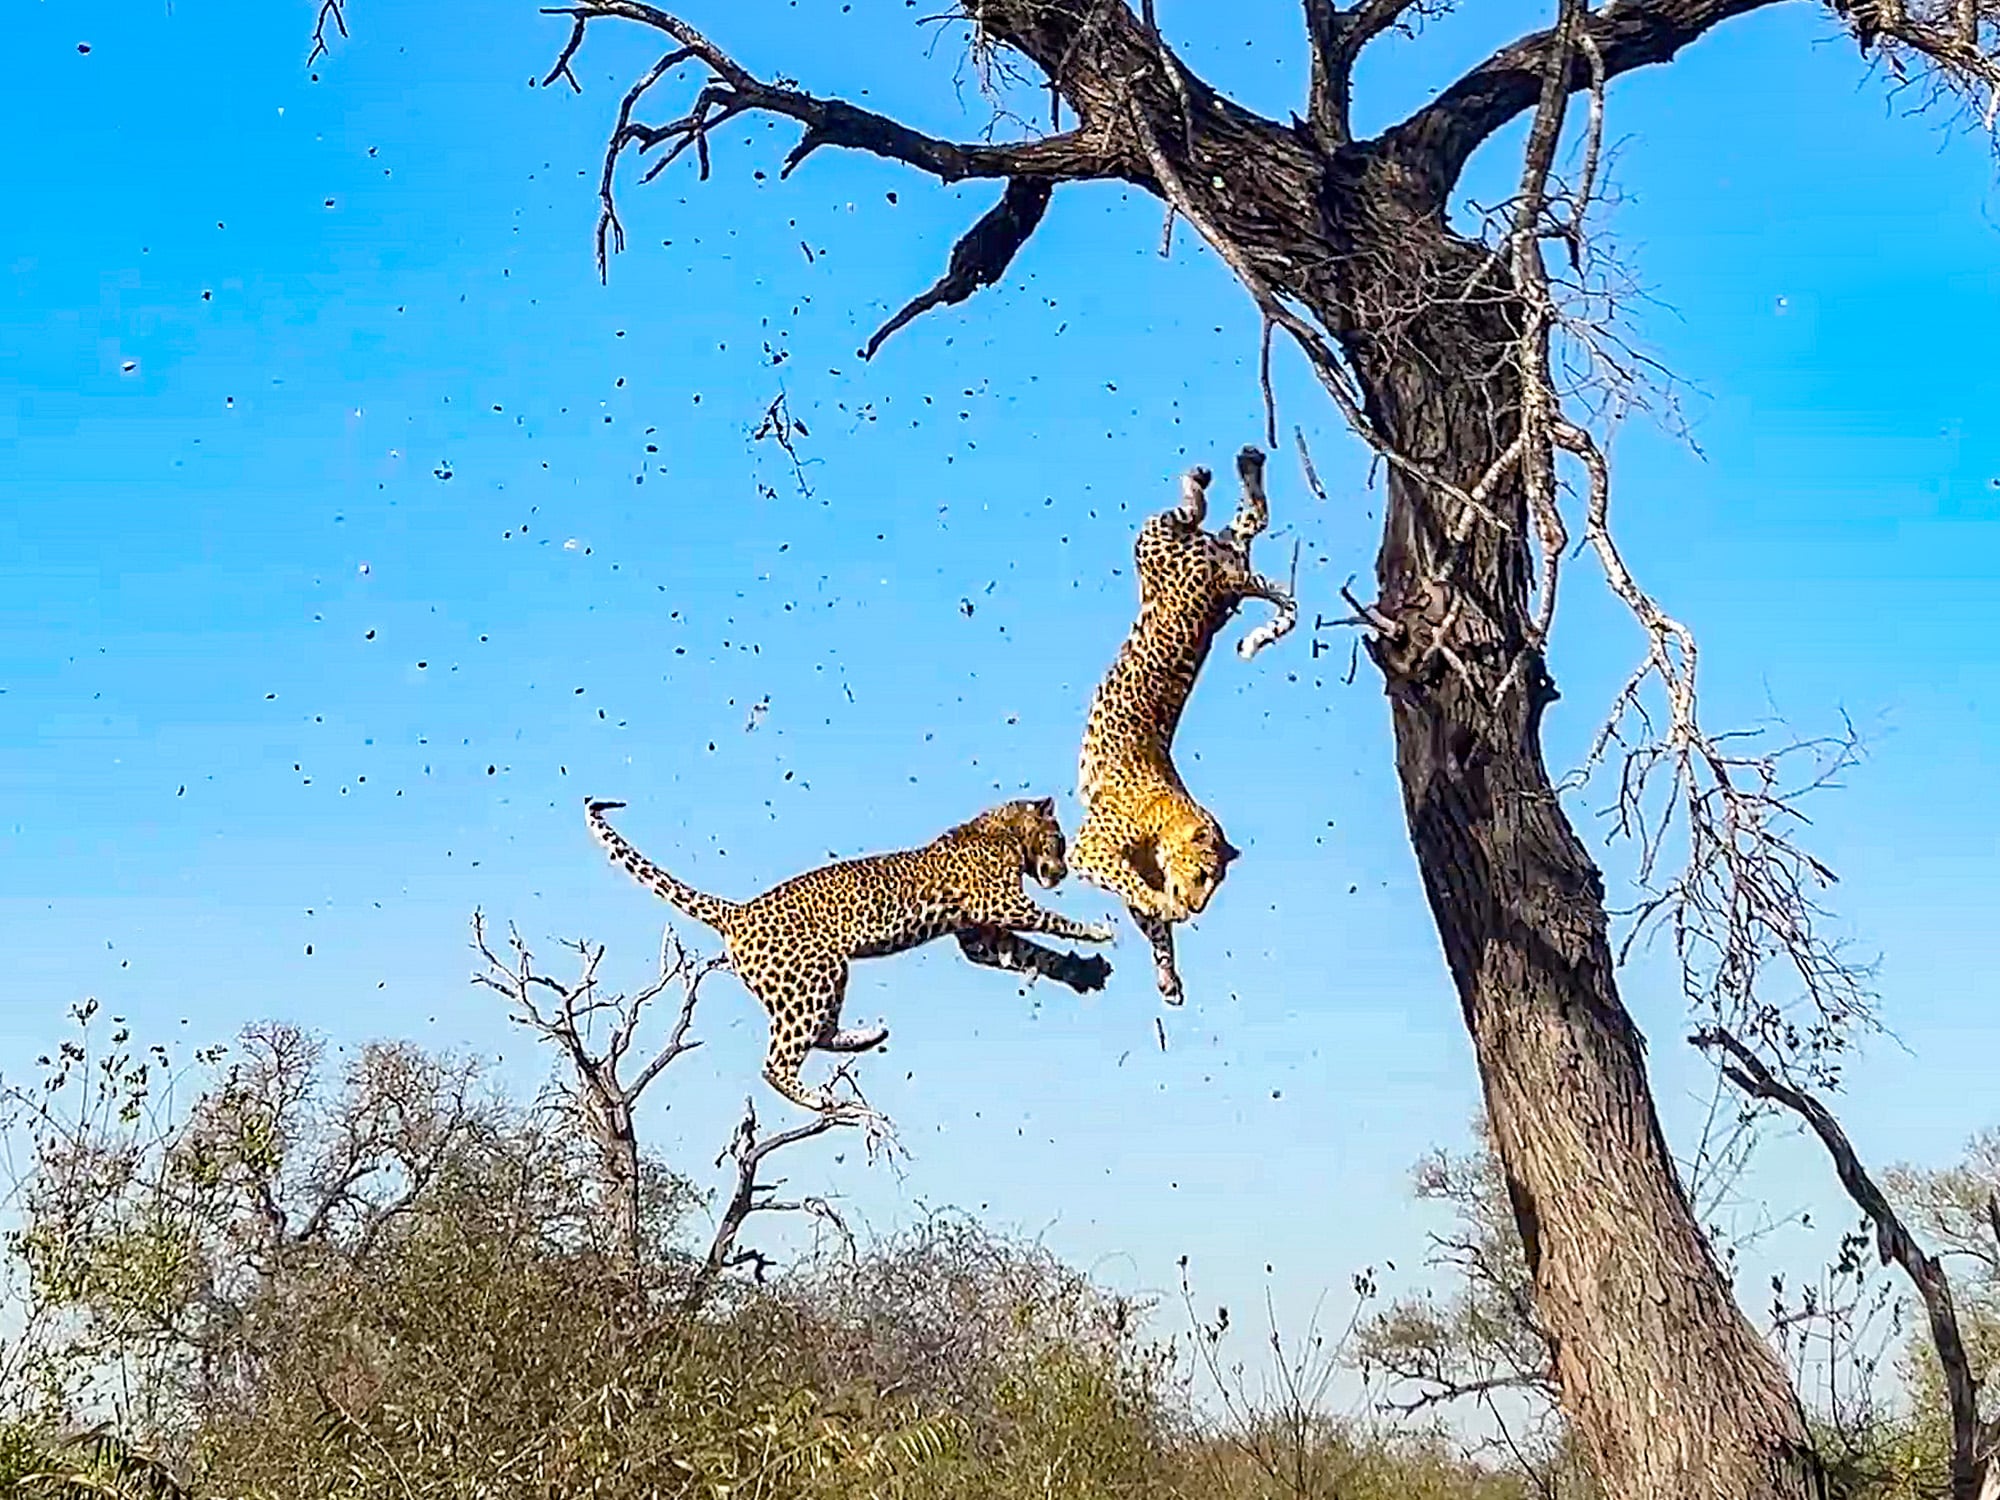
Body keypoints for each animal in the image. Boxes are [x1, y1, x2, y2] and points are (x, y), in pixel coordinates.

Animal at [584, 795, 1114, 1114]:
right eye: (1058, 840)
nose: (1063, 871)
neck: (1002, 831)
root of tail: (737, 912)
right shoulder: (1002, 904)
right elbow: (1053, 921)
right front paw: (1097, 930)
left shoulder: (982, 936)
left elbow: (1035, 955)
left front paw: (1082, 970)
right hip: (813, 976)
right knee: (777, 1061)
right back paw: (817, 1096)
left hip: (817, 979)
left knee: (817, 1035)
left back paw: (866, 1036)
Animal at [1072, 444, 1297, 1006]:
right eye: (1203, 875)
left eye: (1214, 887)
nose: (1198, 907)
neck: (1165, 816)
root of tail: (1226, 582)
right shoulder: (1090, 848)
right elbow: (1137, 894)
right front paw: (1167, 936)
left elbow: (1148, 915)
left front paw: (1167, 965)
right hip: (1174, 548)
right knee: (1223, 520)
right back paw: (1225, 470)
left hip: (1179, 552)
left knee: (1231, 520)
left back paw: (1228, 469)